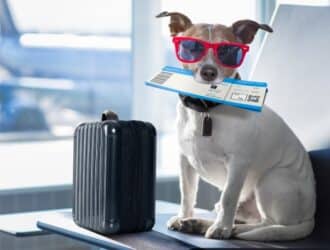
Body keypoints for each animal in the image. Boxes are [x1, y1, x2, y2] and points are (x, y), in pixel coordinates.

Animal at [156, 10, 316, 241]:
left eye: (228, 51)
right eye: (191, 47)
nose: (209, 72)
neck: (206, 110)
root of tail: (310, 217)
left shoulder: (238, 163)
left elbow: (228, 197)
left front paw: (222, 229)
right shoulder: (184, 161)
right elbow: (187, 194)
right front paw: (183, 216)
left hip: (270, 180)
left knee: (267, 223)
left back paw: (231, 229)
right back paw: (197, 223)